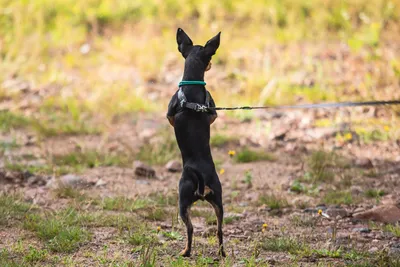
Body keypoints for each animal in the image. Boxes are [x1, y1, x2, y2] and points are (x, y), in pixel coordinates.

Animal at [166, 28, 225, 258]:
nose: (211, 64)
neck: (191, 85)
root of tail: (201, 181)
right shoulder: (213, 113)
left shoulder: (169, 114)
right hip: (218, 200)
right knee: (219, 230)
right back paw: (222, 254)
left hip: (182, 201)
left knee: (190, 229)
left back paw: (185, 251)